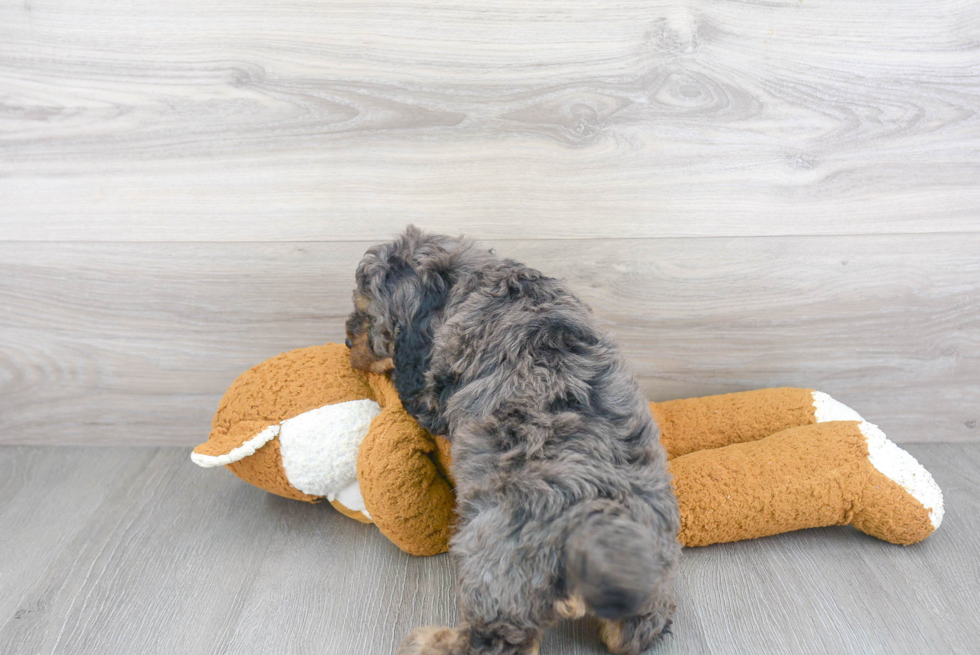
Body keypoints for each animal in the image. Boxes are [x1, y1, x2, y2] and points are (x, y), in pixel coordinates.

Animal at [346, 227, 680, 655]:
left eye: (368, 315)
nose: (345, 341)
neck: (471, 279)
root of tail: (591, 535)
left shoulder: (432, 387)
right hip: (651, 585)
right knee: (637, 631)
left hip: (492, 565)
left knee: (494, 640)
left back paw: (428, 641)